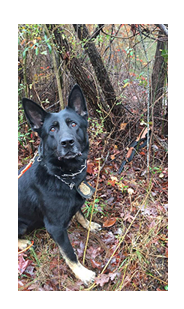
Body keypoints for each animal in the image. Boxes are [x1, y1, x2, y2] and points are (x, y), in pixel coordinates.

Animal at [18, 84, 101, 284]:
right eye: (52, 129)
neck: (63, 175)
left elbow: (80, 214)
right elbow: (70, 254)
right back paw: (23, 242)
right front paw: (82, 273)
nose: (67, 142)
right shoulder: (55, 228)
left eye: (73, 124)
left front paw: (89, 225)